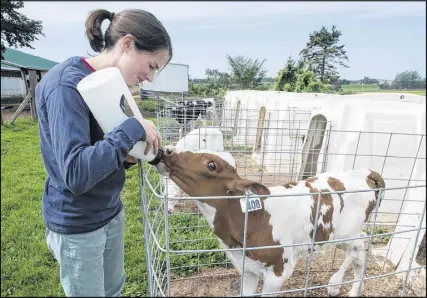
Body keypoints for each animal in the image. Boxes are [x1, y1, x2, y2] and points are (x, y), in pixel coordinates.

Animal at [161, 148, 388, 296]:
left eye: (211, 165)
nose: (168, 150)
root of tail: (363, 173)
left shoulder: (279, 272)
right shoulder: (247, 269)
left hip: (346, 234)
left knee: (359, 249)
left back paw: (344, 287)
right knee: (360, 246)